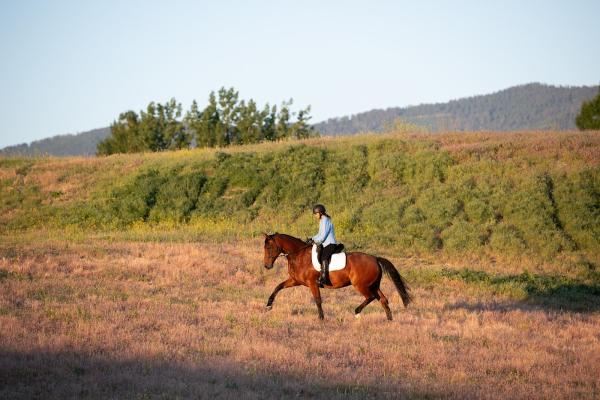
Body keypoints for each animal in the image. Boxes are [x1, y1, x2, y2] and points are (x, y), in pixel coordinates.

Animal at [262, 233, 412, 320]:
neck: (299, 255)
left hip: (361, 285)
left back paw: (357, 312)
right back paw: (389, 320)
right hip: (373, 285)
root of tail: (375, 259)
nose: (267, 266)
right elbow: (278, 287)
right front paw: (268, 305)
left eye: (269, 248)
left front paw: (321, 318)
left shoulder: (312, 283)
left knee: (371, 297)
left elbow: (318, 300)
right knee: (383, 300)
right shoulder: (295, 281)